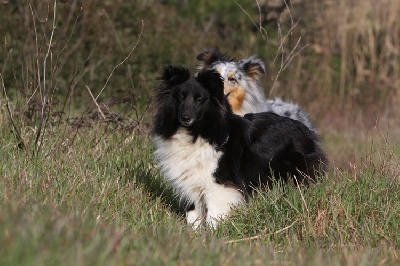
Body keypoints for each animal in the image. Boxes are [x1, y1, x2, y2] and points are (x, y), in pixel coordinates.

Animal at [152, 66, 326, 229]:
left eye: (199, 100)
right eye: (181, 97)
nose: (185, 118)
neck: (198, 132)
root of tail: (306, 130)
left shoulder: (218, 185)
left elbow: (213, 214)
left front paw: (213, 234)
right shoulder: (190, 183)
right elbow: (193, 214)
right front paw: (195, 234)